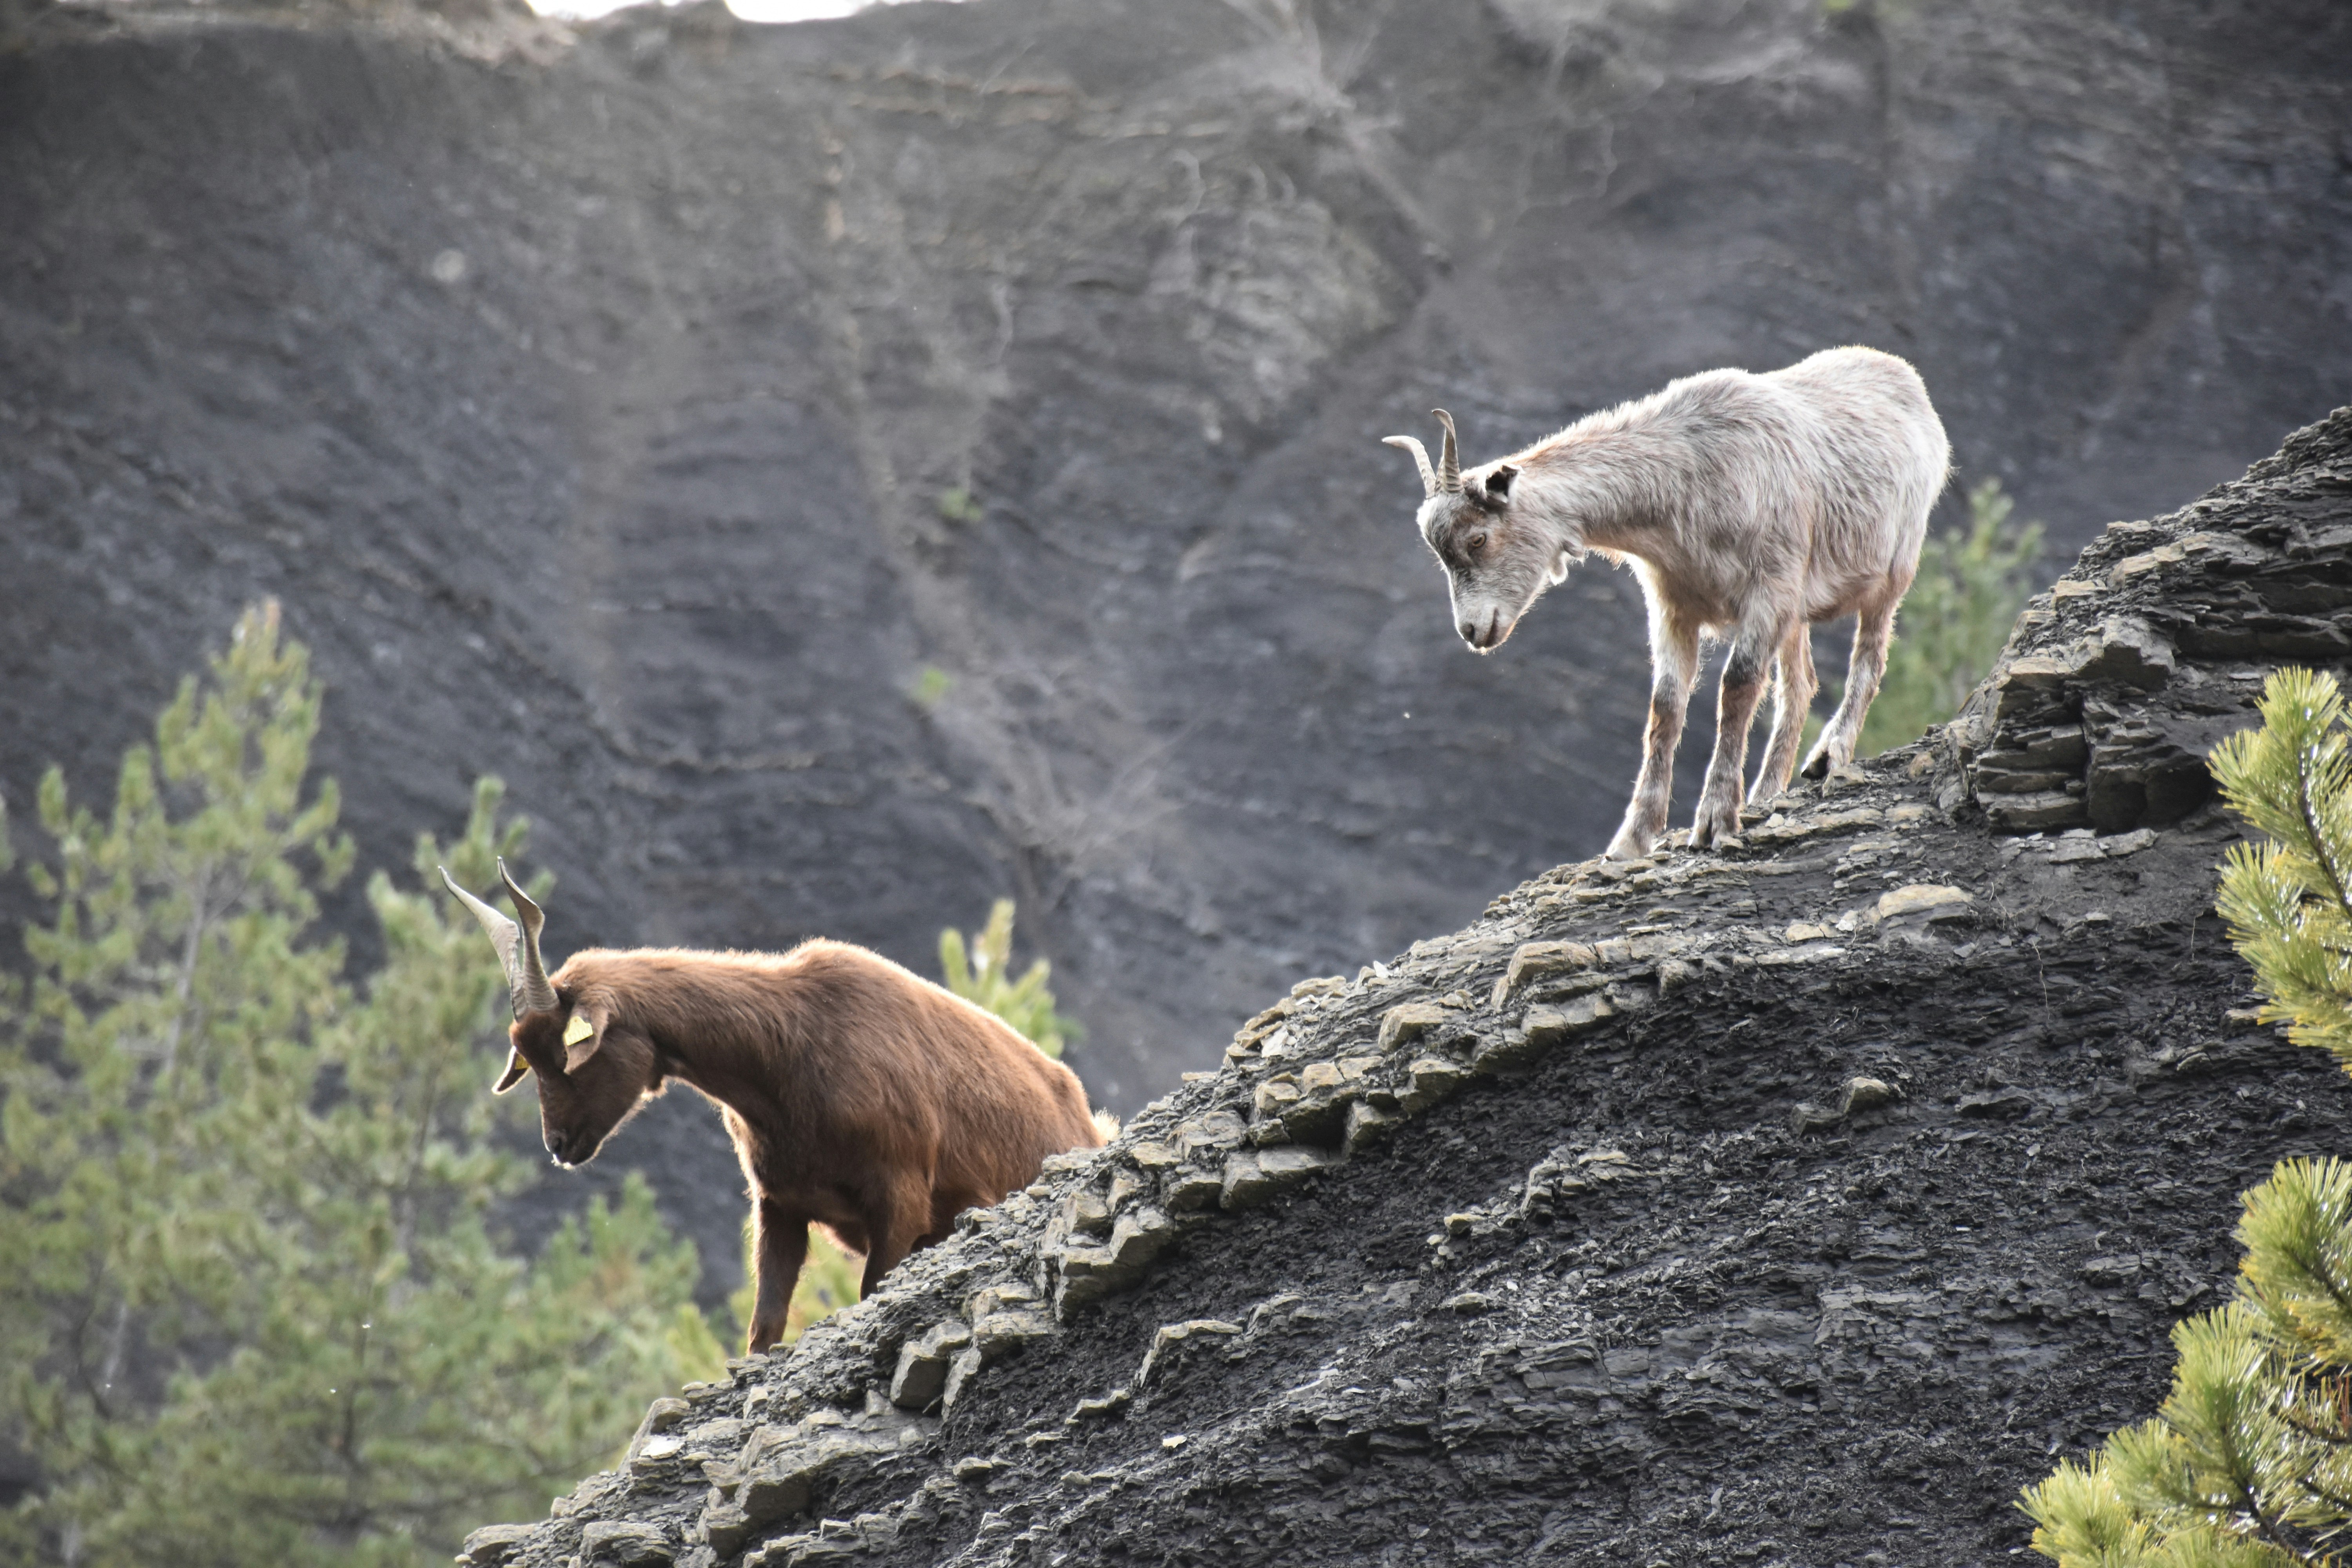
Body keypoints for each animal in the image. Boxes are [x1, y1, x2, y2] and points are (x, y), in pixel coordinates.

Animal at [441, 863, 1103, 1352]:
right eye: (527, 1059)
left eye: (567, 1055)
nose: (559, 1144)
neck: (793, 1047)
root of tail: (1087, 1117)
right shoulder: (780, 1203)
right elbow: (765, 1329)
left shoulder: (901, 1199)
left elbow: (869, 1293)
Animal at [1385, 346, 1950, 859]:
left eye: (1478, 539)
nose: (1472, 631)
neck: (1688, 477)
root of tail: (1909, 380)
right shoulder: (1675, 605)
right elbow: (1666, 705)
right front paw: (1631, 840)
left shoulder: (1767, 591)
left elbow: (1738, 685)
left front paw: (1715, 821)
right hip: (1797, 613)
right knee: (1800, 684)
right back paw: (1769, 792)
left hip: (1892, 569)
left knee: (1869, 660)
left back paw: (1830, 756)